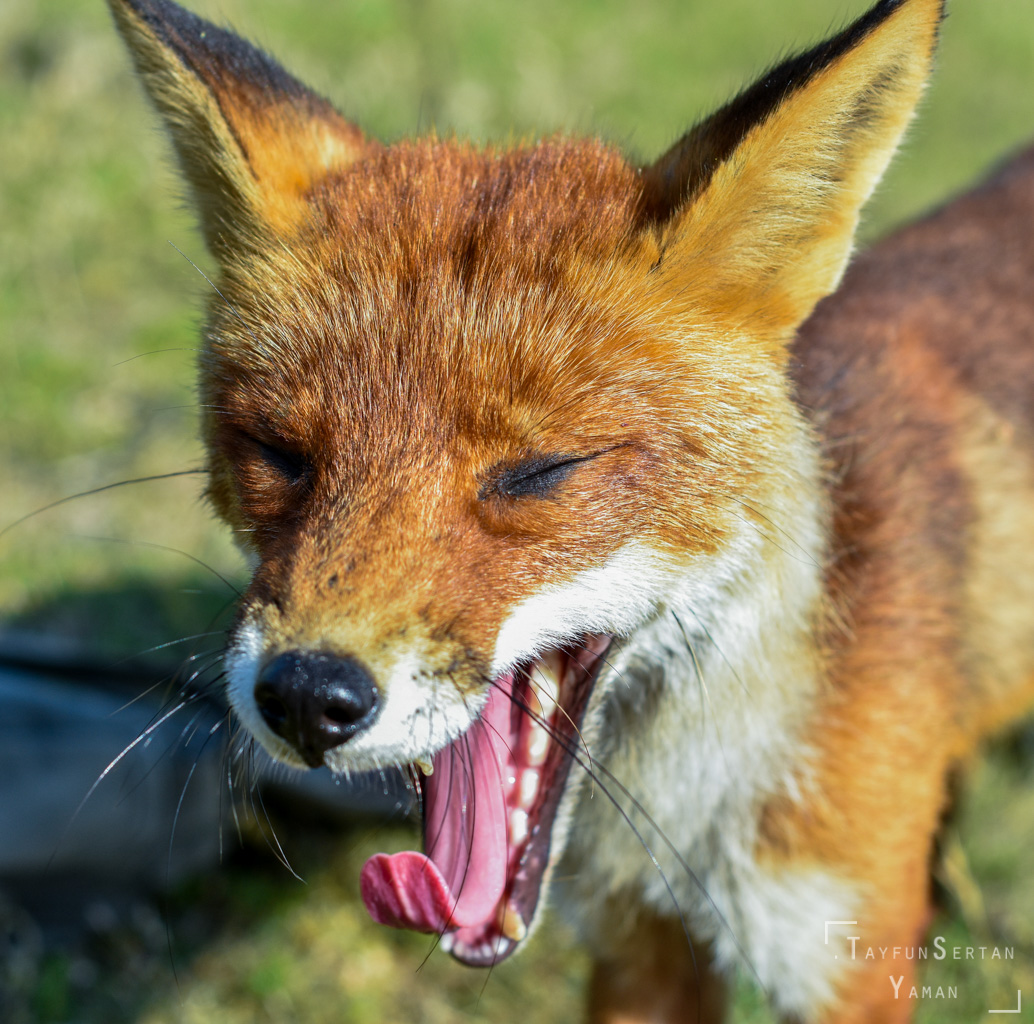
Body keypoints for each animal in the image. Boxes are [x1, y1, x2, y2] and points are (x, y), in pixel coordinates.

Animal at [104, 0, 1034, 1020]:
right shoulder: (636, 943)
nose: (309, 696)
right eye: (278, 452)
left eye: (540, 471)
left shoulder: (841, 955)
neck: (677, 809)